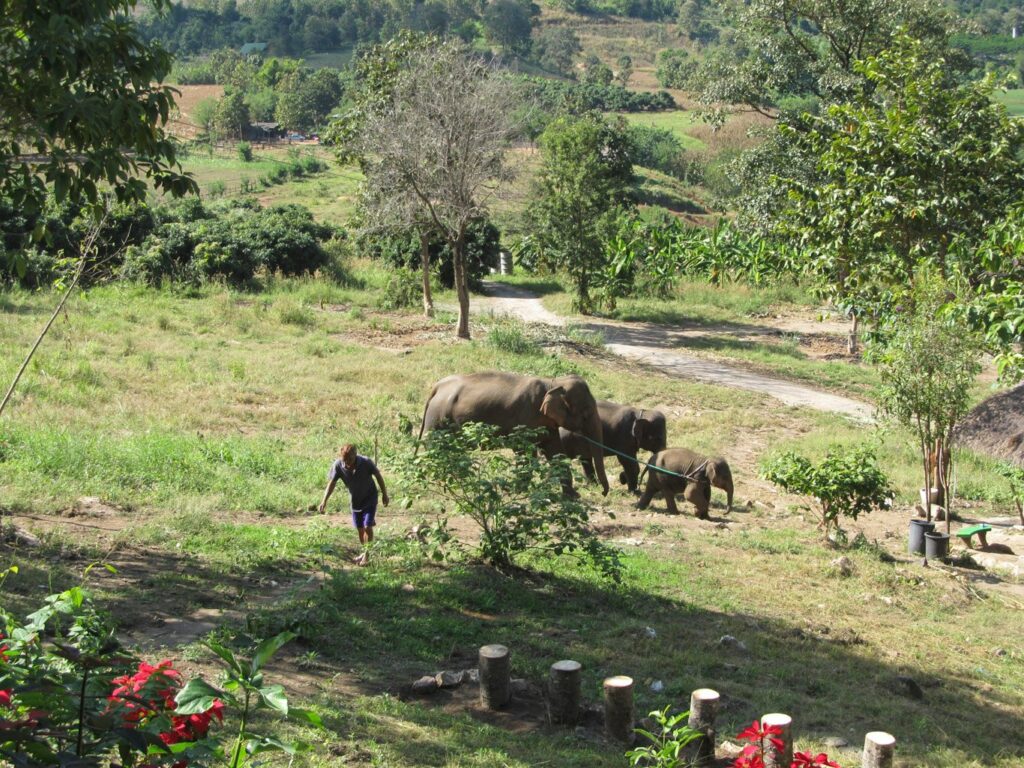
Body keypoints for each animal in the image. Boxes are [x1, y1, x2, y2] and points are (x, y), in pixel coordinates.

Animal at [416, 371, 609, 495]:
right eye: (586, 413)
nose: (602, 492)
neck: (552, 382)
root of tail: (437, 386)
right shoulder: (524, 418)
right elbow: (524, 451)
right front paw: (520, 490)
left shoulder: (548, 425)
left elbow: (555, 452)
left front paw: (572, 496)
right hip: (438, 417)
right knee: (434, 448)